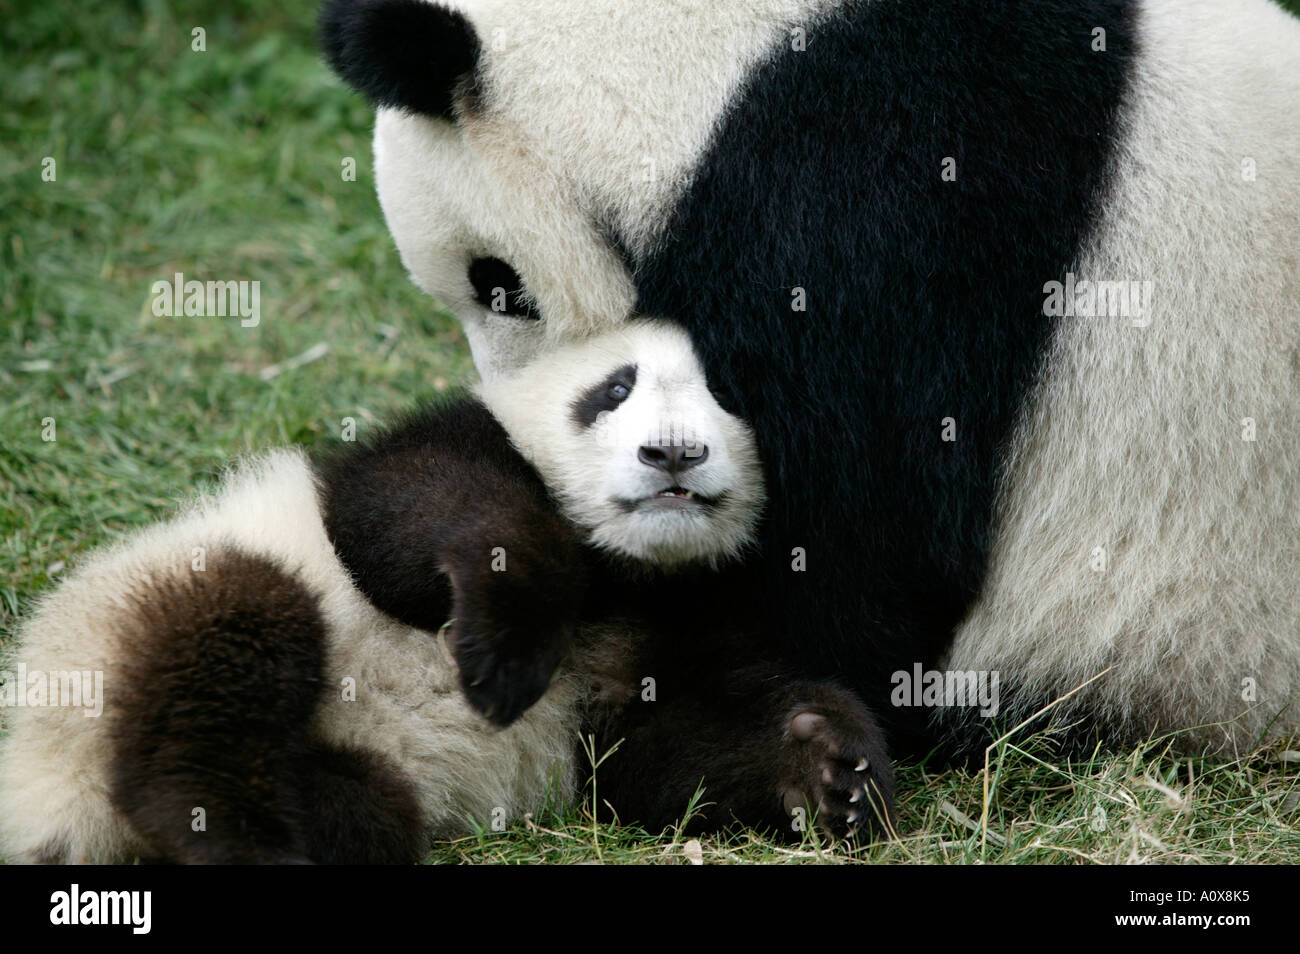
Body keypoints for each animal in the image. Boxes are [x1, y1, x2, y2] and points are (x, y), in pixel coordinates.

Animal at [0, 321, 894, 868]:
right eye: (614, 389)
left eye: (731, 395)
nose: (672, 453)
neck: (626, 568)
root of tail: (63, 810)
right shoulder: (445, 445)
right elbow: (413, 516)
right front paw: (504, 654)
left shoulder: (684, 610)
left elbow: (656, 751)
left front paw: (830, 768)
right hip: (121, 624)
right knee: (233, 631)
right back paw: (224, 828)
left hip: (352, 777)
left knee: (363, 809)